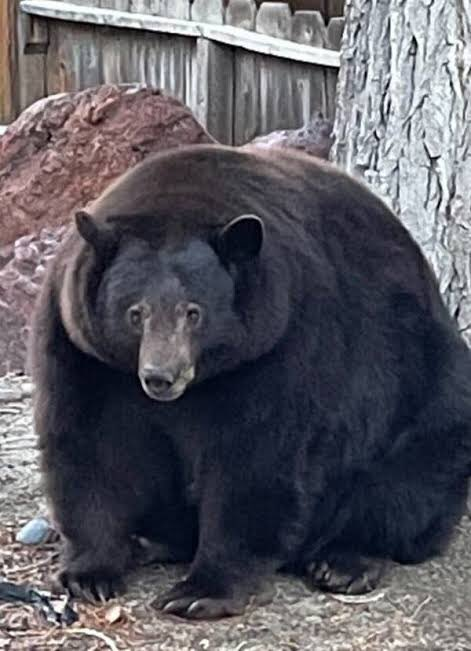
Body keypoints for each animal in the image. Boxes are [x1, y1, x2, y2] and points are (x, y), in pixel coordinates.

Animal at [28, 143, 471, 620]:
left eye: (194, 311)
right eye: (135, 312)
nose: (161, 377)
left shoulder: (282, 342)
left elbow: (257, 458)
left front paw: (200, 591)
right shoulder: (82, 349)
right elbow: (92, 444)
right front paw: (90, 574)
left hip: (424, 391)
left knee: (407, 481)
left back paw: (344, 561)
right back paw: (151, 540)